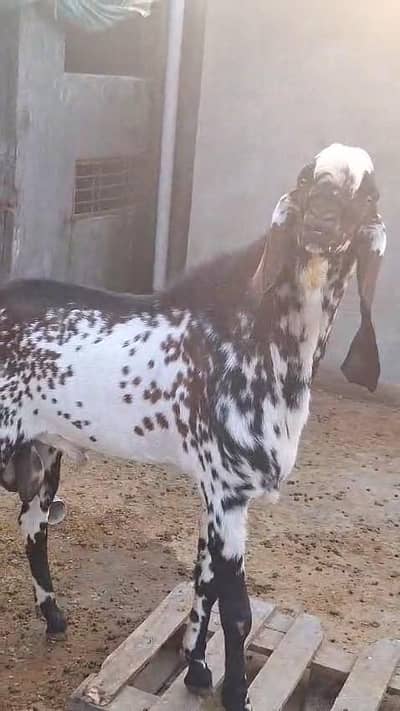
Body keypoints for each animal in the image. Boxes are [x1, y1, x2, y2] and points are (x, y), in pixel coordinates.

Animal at [0, 143, 386, 711]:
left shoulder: (216, 492)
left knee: (33, 526)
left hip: (45, 453)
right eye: (305, 178)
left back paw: (53, 618)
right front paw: (235, 694)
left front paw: (198, 669)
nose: (321, 217)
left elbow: (203, 582)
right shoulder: (228, 493)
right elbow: (239, 612)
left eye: (369, 193)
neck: (252, 330)